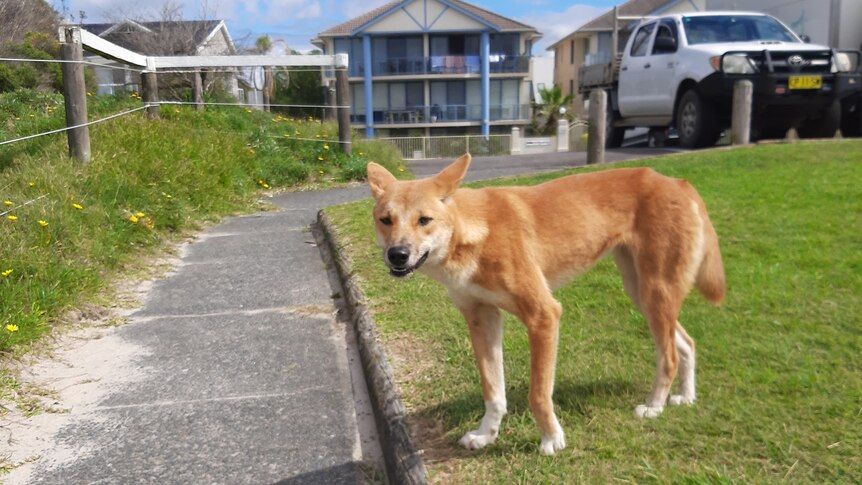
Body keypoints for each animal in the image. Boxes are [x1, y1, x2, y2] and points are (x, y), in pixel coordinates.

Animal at [368, 155, 724, 454]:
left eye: (424, 220)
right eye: (386, 220)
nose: (397, 255)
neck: (476, 234)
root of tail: (678, 182)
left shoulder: (543, 316)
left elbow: (538, 394)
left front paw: (552, 439)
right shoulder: (482, 319)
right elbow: (493, 391)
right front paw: (486, 435)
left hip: (655, 292)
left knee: (669, 357)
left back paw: (654, 406)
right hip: (641, 294)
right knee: (686, 344)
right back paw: (686, 397)